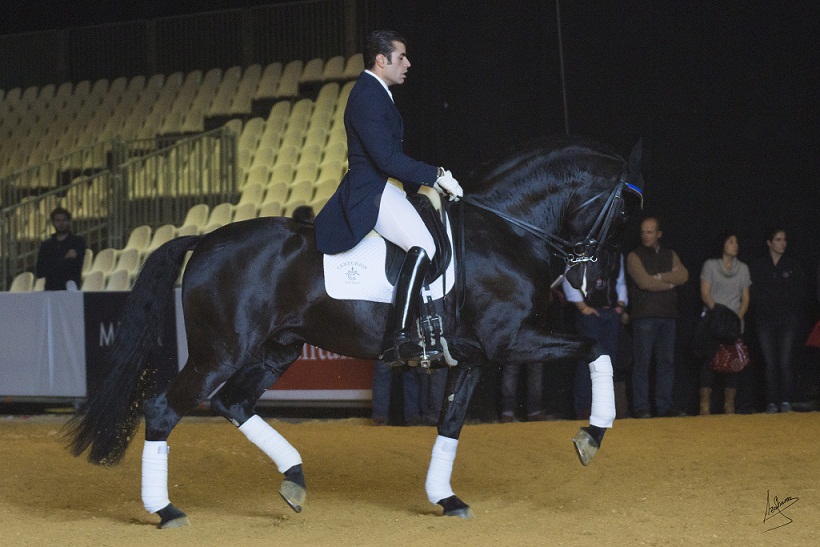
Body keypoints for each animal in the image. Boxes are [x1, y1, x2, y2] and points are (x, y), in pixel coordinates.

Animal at [66, 137, 644, 528]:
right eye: (620, 215)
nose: (597, 289)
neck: (503, 230)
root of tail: (205, 238)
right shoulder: (509, 339)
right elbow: (596, 347)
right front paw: (592, 435)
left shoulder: (475, 356)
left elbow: (450, 424)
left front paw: (446, 498)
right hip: (220, 352)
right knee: (165, 408)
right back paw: (166, 510)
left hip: (277, 350)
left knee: (233, 403)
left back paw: (294, 479)